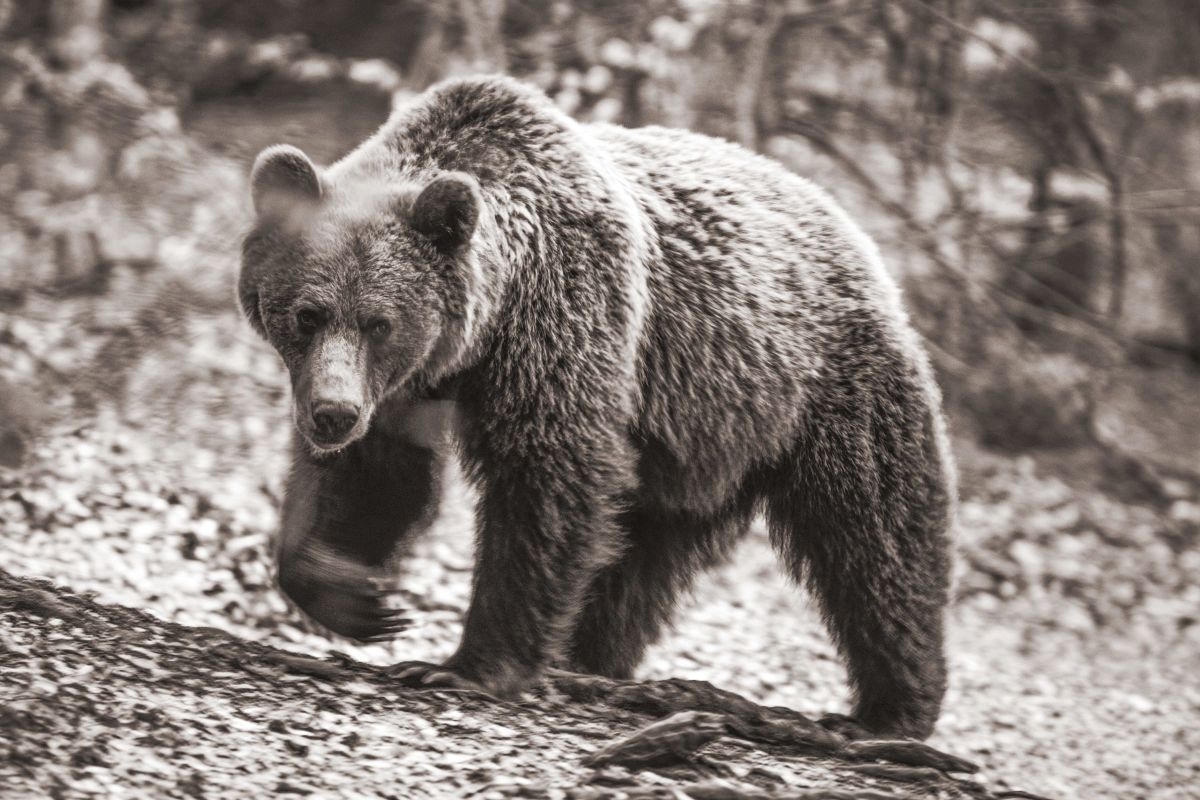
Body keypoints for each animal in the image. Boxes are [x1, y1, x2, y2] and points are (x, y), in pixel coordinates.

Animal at [238, 75, 957, 740]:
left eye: (379, 321)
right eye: (307, 313)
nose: (331, 414)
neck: (484, 332)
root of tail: (853, 231)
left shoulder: (565, 320)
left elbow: (547, 481)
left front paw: (467, 666)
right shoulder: (406, 386)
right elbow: (377, 475)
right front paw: (355, 595)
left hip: (825, 390)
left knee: (874, 539)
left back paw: (890, 711)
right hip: (694, 442)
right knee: (639, 561)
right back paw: (588, 663)